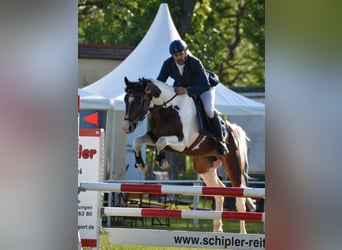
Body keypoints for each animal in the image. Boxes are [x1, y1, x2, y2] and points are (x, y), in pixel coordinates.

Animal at [122, 77, 254, 233]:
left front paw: (162, 162)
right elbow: (138, 141)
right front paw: (142, 165)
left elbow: (161, 142)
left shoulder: (182, 143)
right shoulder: (153, 137)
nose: (127, 128)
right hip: (204, 168)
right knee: (219, 191)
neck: (168, 109)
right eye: (125, 99)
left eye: (139, 101)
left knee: (240, 198)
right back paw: (217, 230)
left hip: (233, 165)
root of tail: (233, 128)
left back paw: (242, 233)